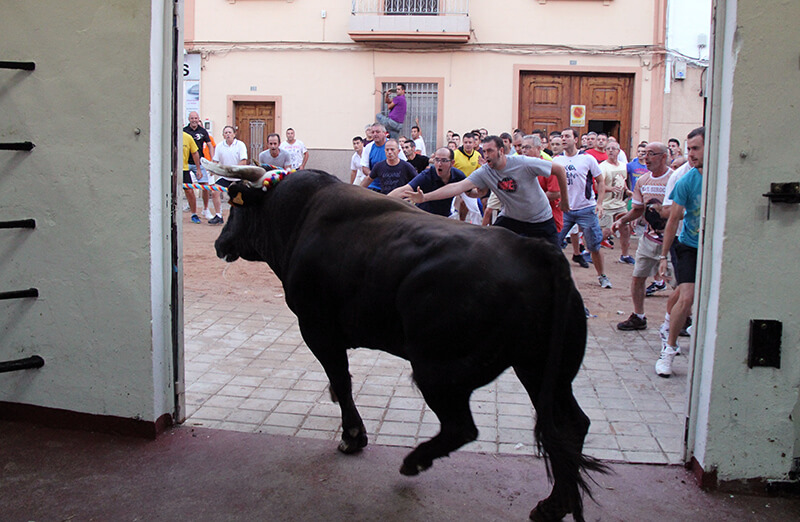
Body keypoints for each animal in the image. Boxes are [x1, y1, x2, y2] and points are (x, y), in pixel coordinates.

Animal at [212, 169, 608, 516]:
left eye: (235, 208)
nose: (219, 242)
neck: (297, 217)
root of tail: (536, 252)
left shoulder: (317, 328)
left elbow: (341, 379)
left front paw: (352, 436)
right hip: (540, 370)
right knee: (569, 425)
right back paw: (554, 504)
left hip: (439, 372)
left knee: (463, 427)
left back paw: (415, 461)